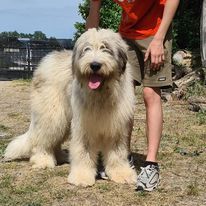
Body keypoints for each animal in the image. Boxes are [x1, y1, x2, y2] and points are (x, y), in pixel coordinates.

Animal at [4, 29, 137, 187]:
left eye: (106, 48)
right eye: (86, 49)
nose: (95, 65)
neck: (101, 94)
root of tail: (44, 62)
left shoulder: (116, 127)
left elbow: (117, 152)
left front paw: (121, 173)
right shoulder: (84, 127)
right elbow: (83, 151)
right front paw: (82, 177)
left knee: (55, 141)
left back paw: (61, 156)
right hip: (52, 115)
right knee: (42, 140)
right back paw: (43, 160)